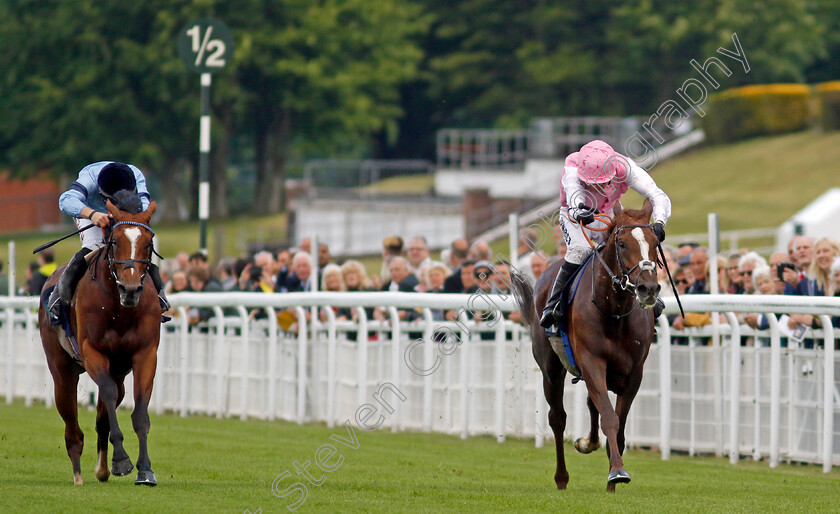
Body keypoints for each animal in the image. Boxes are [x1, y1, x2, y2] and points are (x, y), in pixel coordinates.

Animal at [38, 197, 162, 484]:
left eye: (148, 242)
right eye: (114, 241)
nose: (131, 289)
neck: (119, 307)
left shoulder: (146, 354)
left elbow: (140, 411)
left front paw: (144, 469)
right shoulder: (92, 351)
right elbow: (106, 392)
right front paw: (123, 459)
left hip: (118, 371)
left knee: (105, 414)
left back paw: (104, 468)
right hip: (62, 371)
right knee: (72, 424)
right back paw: (78, 475)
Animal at [512, 198, 664, 490]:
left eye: (654, 241)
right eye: (622, 243)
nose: (648, 289)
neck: (614, 312)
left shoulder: (634, 373)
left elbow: (617, 424)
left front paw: (612, 481)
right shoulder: (592, 361)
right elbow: (609, 418)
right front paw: (617, 471)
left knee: (590, 405)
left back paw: (587, 444)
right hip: (550, 369)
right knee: (557, 418)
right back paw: (561, 478)